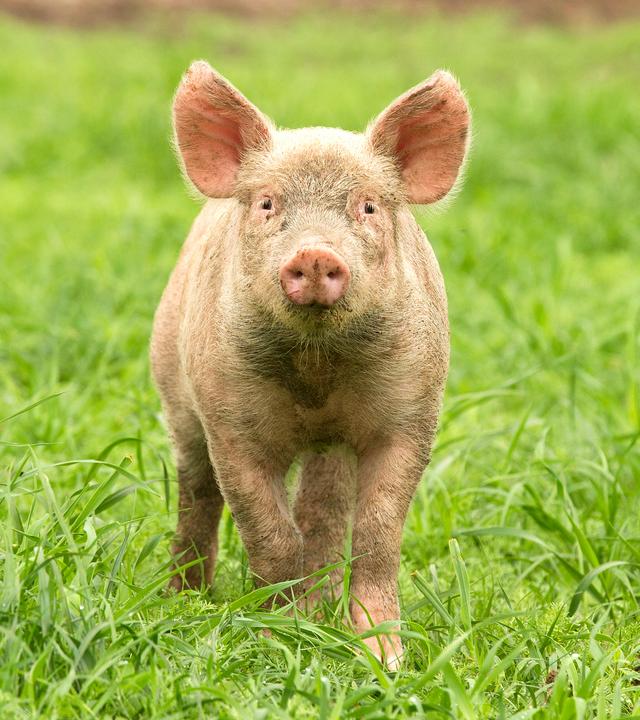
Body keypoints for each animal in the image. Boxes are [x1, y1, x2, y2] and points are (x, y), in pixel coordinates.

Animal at [151, 60, 470, 668]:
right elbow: (269, 535)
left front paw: (384, 657)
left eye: (368, 206)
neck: (317, 372)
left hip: (334, 450)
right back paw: (183, 597)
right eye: (267, 203)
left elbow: (376, 535)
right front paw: (275, 642)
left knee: (323, 513)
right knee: (198, 494)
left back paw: (319, 613)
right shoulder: (228, 418)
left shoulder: (412, 412)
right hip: (174, 395)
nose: (316, 253)